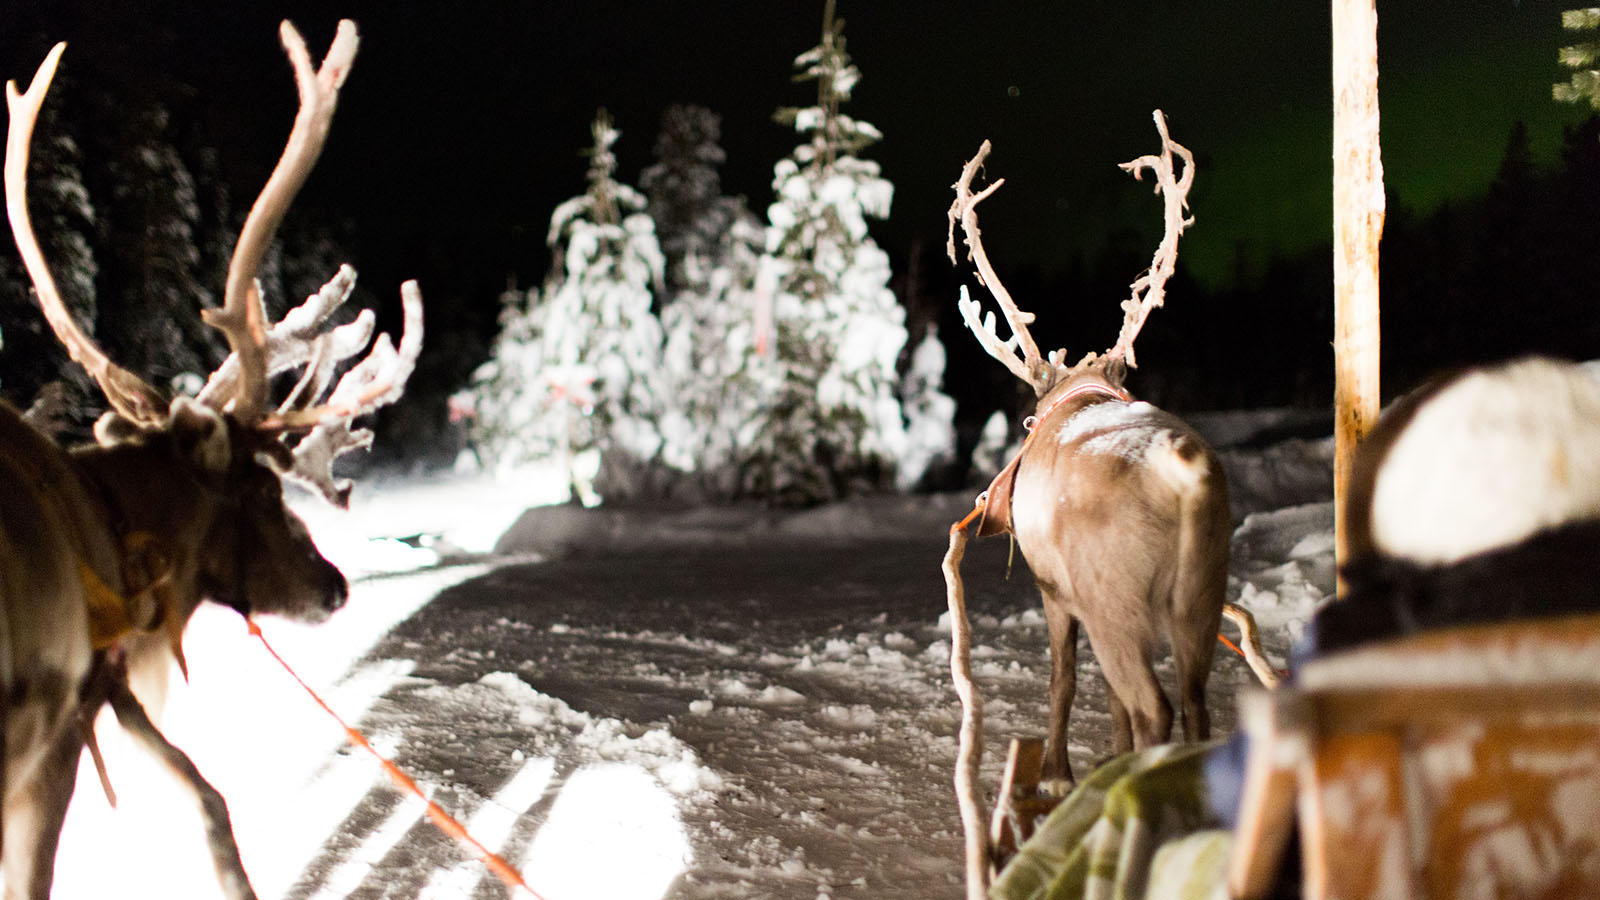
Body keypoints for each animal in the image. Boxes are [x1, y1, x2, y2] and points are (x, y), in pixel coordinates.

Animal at [0, 20, 421, 900]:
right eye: (262, 491)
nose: (335, 584)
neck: (113, 523)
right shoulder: (57, 735)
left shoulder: (106, 689)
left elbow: (204, 792)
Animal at [946, 112, 1232, 787]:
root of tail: (1184, 475)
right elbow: (1106, 695)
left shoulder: (1054, 590)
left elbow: (1065, 680)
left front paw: (1056, 771)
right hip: (1202, 594)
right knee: (1195, 703)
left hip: (1114, 599)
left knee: (1154, 706)